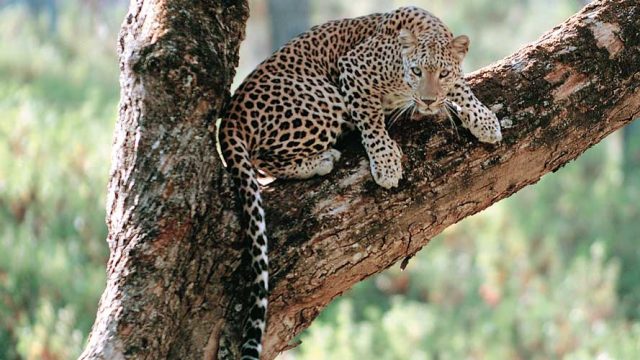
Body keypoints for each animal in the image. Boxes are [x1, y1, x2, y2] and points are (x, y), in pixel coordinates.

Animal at [218, 6, 502, 360]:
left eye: (442, 72)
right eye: (416, 71)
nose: (426, 101)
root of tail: (229, 117)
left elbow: (461, 86)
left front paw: (482, 119)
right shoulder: (353, 69)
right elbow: (370, 117)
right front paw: (386, 161)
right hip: (325, 98)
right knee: (262, 160)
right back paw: (321, 160)